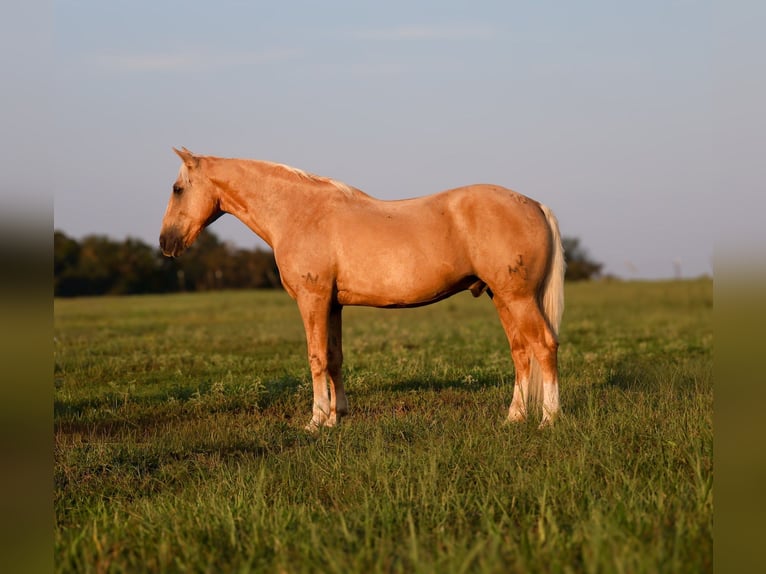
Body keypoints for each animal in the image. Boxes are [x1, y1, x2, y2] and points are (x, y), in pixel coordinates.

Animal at [160, 148, 565, 430]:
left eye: (178, 189)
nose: (166, 243)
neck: (298, 212)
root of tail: (535, 205)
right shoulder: (333, 305)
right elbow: (334, 358)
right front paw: (336, 416)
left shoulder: (313, 300)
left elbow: (316, 358)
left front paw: (316, 421)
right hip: (503, 298)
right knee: (520, 352)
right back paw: (514, 417)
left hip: (518, 298)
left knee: (543, 346)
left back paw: (548, 418)